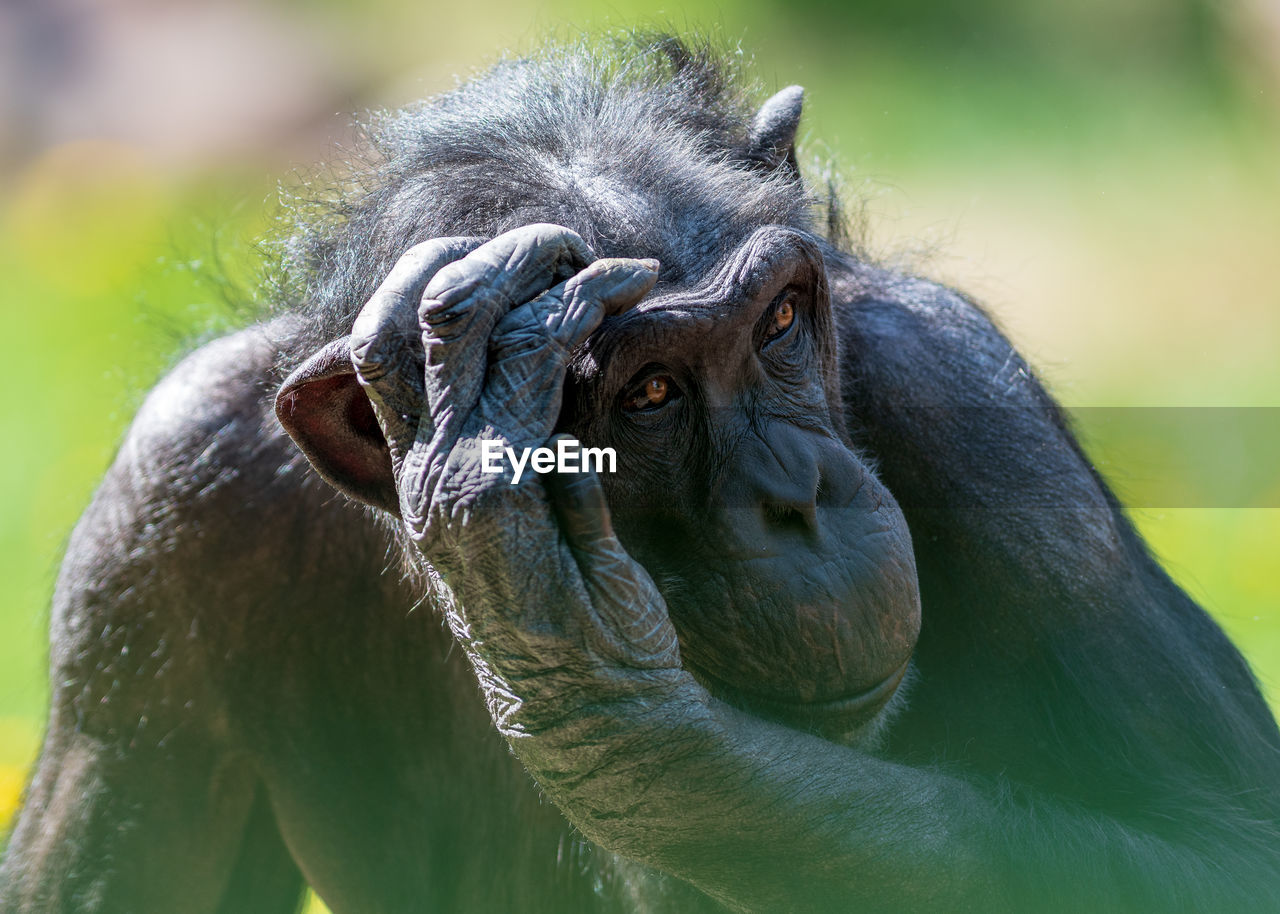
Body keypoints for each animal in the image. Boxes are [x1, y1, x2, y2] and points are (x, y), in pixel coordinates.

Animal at [2, 32, 1280, 906]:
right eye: (649, 393)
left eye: (774, 325)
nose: (794, 495)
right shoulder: (166, 494)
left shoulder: (971, 397)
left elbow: (1218, 843)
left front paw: (600, 704)